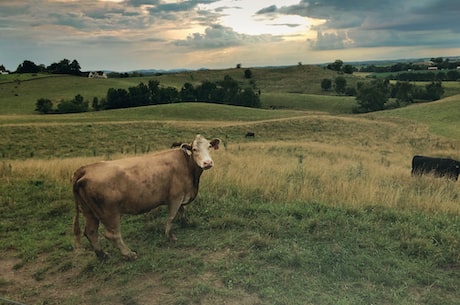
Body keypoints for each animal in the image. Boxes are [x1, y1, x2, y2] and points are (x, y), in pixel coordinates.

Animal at [72, 134, 221, 258]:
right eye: (194, 149)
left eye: (209, 147)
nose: (208, 163)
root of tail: (85, 169)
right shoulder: (175, 197)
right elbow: (171, 217)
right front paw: (170, 237)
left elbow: (182, 211)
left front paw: (185, 224)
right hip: (109, 212)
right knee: (112, 234)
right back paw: (128, 254)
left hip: (89, 211)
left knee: (91, 232)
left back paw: (102, 254)